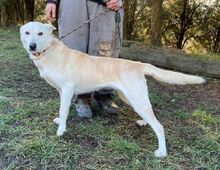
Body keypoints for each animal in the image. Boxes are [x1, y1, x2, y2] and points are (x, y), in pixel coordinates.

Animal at [19, 21, 205, 157]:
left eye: (40, 33)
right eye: (27, 33)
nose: (32, 46)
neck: (48, 51)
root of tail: (139, 64)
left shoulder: (67, 89)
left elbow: (64, 111)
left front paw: (61, 131)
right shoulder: (61, 92)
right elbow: (62, 110)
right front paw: (60, 122)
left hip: (135, 98)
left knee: (159, 126)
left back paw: (162, 152)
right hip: (130, 98)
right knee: (150, 114)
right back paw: (144, 122)